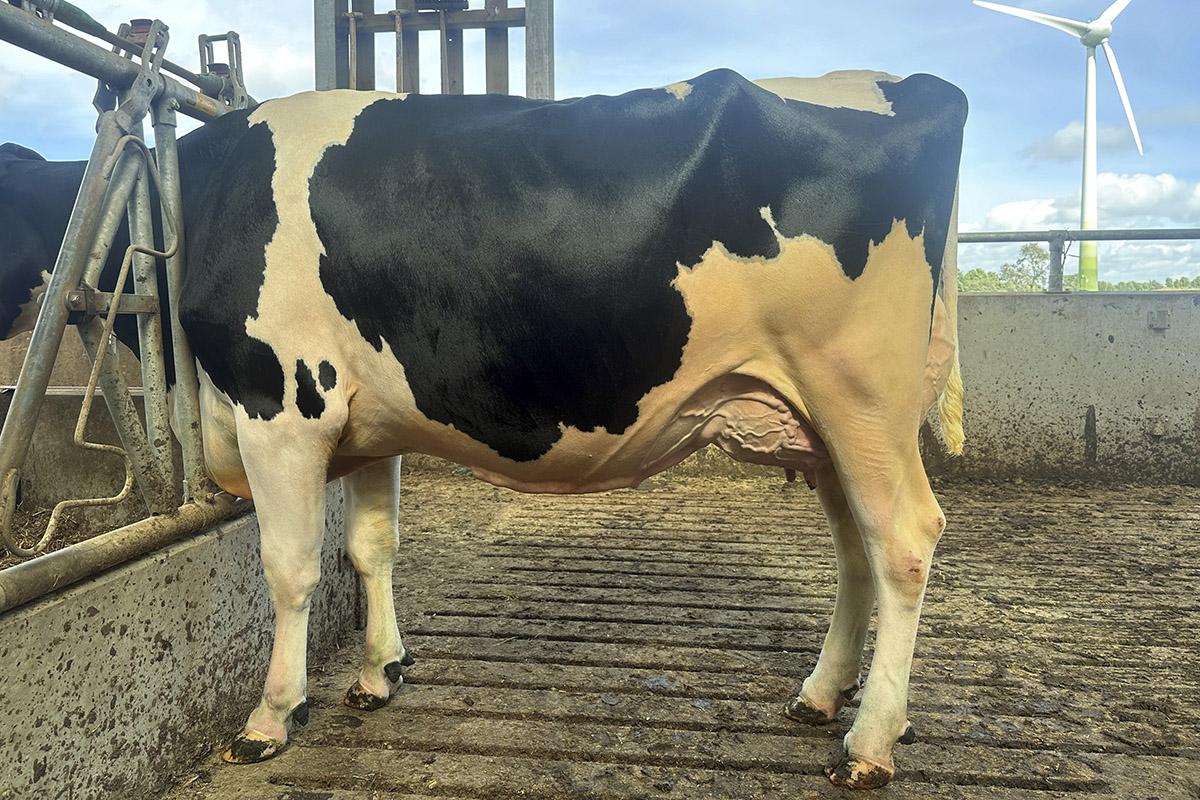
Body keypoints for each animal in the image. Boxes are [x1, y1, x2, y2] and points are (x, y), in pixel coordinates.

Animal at [1, 68, 967, 789]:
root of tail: (908, 83)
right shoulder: (369, 423)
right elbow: (372, 547)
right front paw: (378, 674)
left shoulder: (285, 406)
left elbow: (291, 569)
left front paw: (271, 717)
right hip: (820, 420)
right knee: (855, 550)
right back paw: (819, 696)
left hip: (858, 393)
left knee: (903, 540)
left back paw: (869, 742)